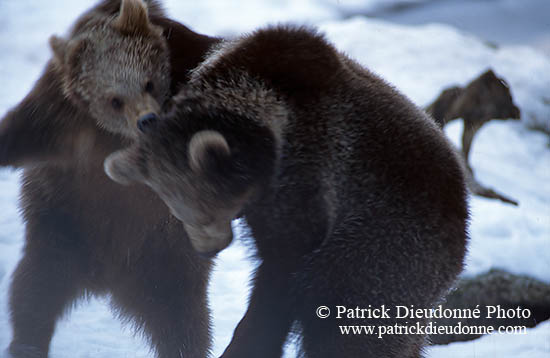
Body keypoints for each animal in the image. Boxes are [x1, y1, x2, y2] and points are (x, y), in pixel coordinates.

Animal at [0, 0, 220, 358]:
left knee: (185, 323)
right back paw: (28, 344)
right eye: (114, 100)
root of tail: (105, 280)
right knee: (34, 293)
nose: (147, 120)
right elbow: (21, 132)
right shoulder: (60, 121)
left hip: (165, 261)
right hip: (63, 234)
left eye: (149, 83)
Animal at [104, 25, 470, 358]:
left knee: (352, 331)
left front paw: (249, 340)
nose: (209, 249)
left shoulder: (314, 176)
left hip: (386, 253)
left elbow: (283, 266)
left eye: (204, 212)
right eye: (179, 212)